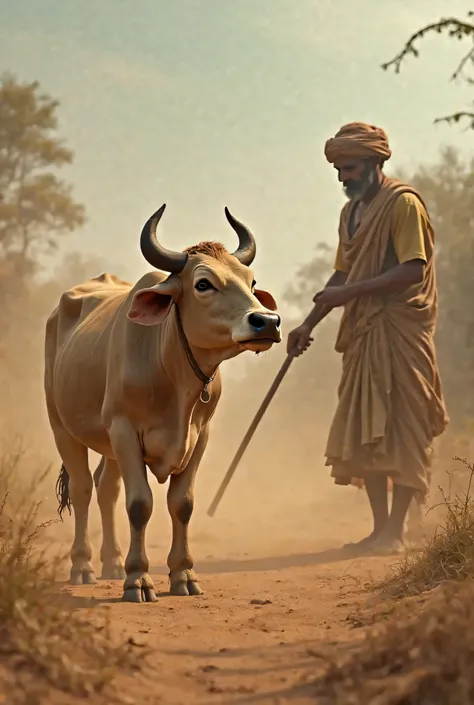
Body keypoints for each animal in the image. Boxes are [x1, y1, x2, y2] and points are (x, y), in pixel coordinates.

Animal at [43, 204, 282, 600]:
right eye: (203, 283)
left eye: (251, 282)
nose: (267, 321)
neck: (172, 373)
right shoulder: (124, 430)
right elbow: (140, 504)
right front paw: (138, 579)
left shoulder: (199, 436)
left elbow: (182, 504)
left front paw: (183, 574)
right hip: (62, 428)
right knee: (83, 489)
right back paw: (84, 566)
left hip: (106, 444)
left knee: (106, 489)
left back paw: (112, 563)